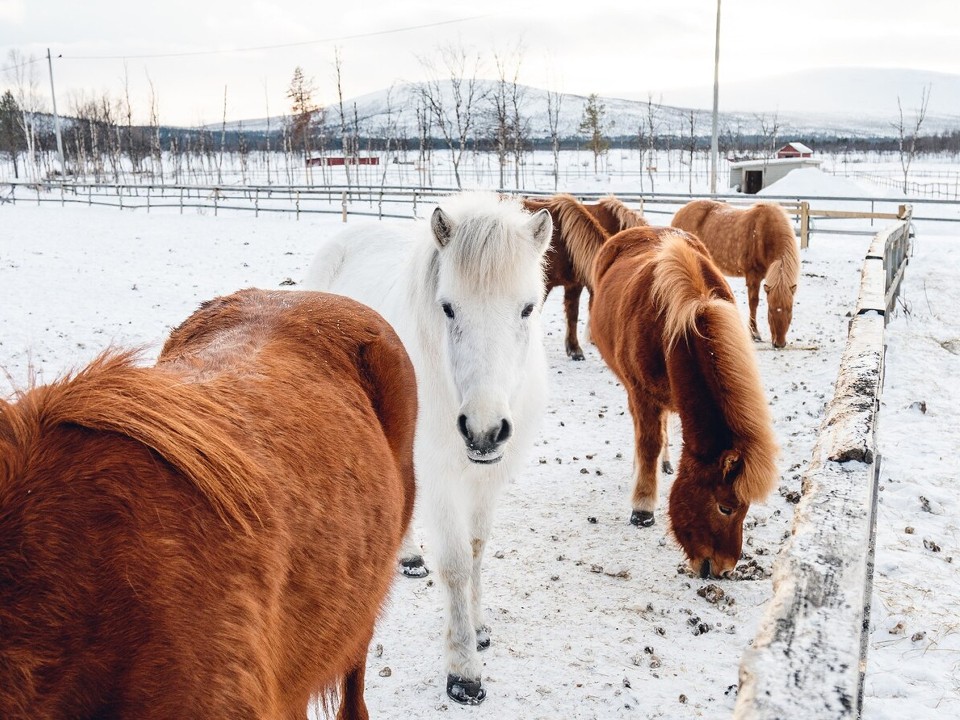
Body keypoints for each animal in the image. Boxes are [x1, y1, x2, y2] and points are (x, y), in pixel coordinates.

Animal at [304, 190, 552, 704]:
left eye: (527, 308)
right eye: (449, 308)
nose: (483, 429)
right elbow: (455, 563)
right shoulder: (440, 477)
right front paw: (463, 671)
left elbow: (476, 549)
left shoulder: (487, 478)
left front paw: (478, 628)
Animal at [584, 228, 780, 576]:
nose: (725, 569)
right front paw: (642, 508)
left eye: (746, 508)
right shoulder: (642, 394)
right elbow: (648, 441)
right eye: (725, 507)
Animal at [672, 198, 800, 348]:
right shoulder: (753, 275)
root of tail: (680, 212)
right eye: (770, 310)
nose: (779, 343)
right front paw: (754, 333)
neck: (764, 234)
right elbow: (753, 302)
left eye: (790, 309)